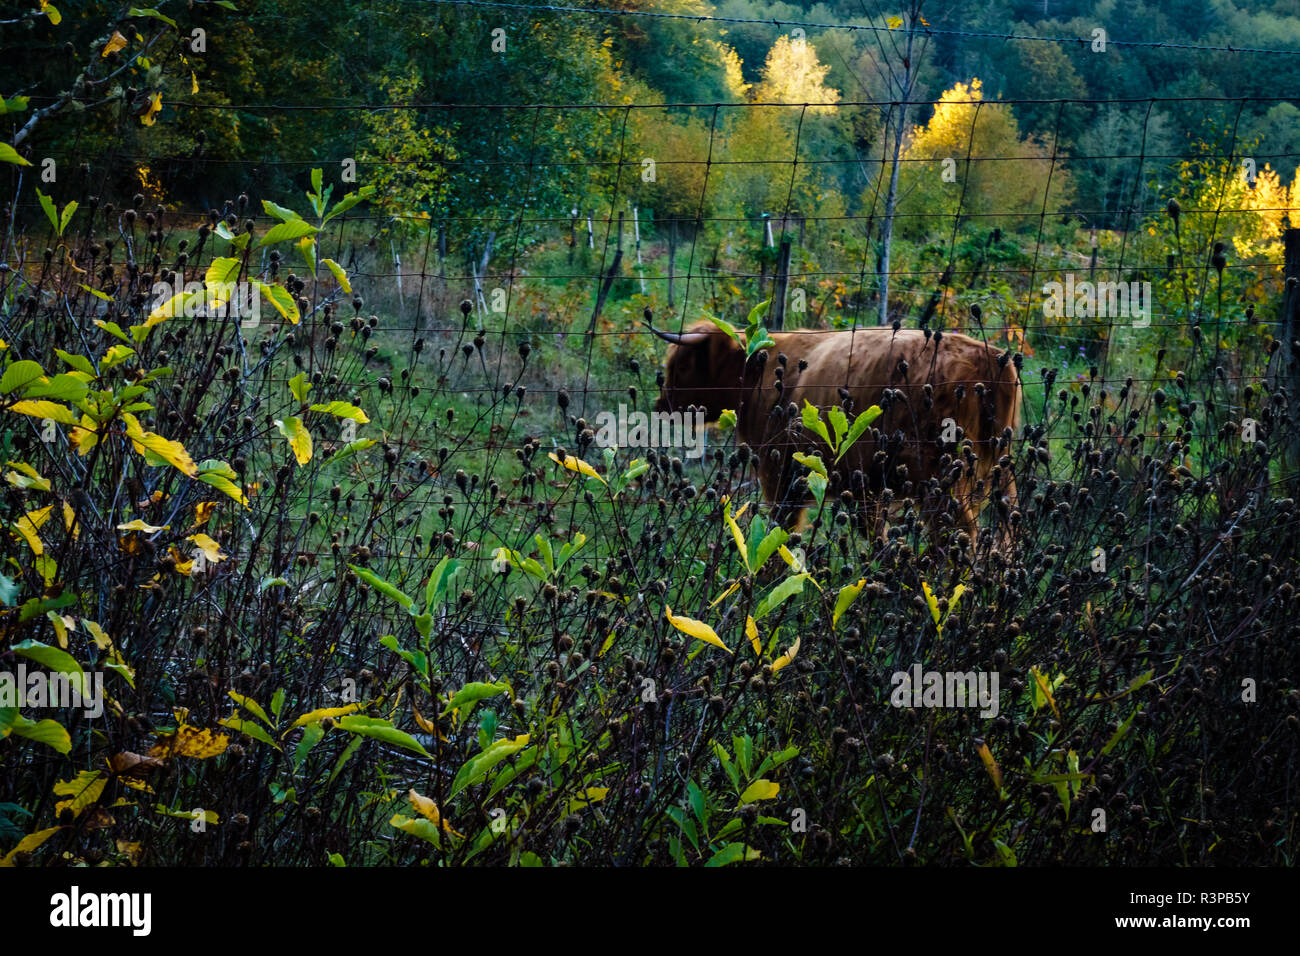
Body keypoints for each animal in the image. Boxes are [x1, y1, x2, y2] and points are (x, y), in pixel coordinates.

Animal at [649, 315, 1022, 549]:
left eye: (681, 364)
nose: (660, 404)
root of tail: (991, 356)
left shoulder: (780, 474)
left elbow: (780, 533)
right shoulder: (865, 488)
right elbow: (876, 536)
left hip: (942, 479)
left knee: (959, 536)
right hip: (1000, 469)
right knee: (1007, 530)